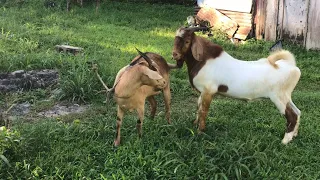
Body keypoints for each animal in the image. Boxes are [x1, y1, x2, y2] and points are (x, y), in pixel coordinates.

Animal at [172, 27, 300, 145]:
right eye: (175, 39)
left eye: (187, 41)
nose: (174, 54)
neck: (204, 61)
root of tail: (291, 66)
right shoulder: (203, 92)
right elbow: (198, 108)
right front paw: (194, 125)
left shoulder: (208, 91)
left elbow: (203, 111)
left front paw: (200, 132)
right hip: (286, 96)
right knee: (298, 112)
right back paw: (293, 136)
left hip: (278, 97)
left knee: (292, 116)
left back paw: (284, 141)